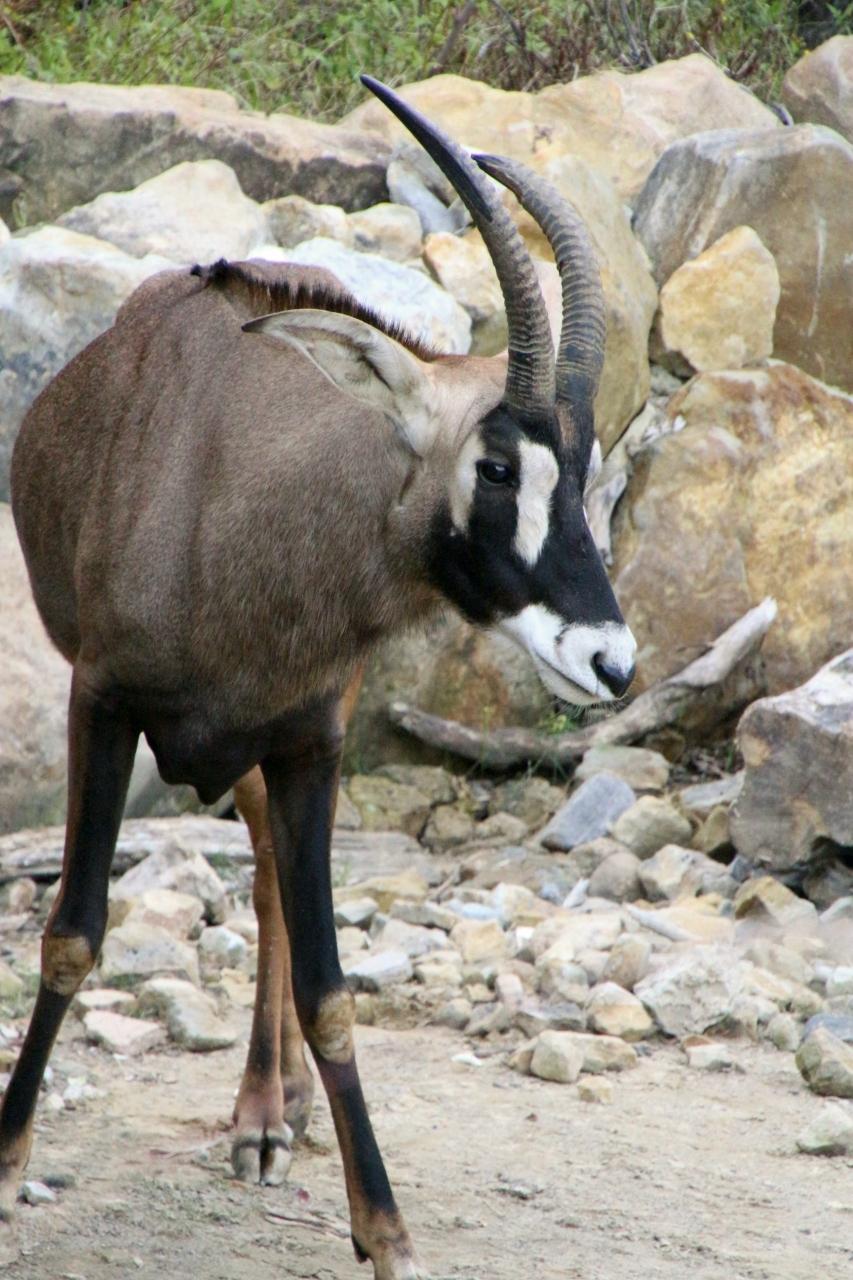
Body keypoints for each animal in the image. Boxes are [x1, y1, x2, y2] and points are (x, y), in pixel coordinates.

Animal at [0, 77, 636, 1278]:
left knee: (262, 877)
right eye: (495, 465)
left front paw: (384, 1232)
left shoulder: (310, 739)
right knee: (245, 866)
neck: (232, 502)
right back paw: (266, 1106)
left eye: (581, 472)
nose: (610, 659)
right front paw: (7, 1158)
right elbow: (69, 936)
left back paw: (269, 1110)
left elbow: (335, 991)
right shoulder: (99, 704)